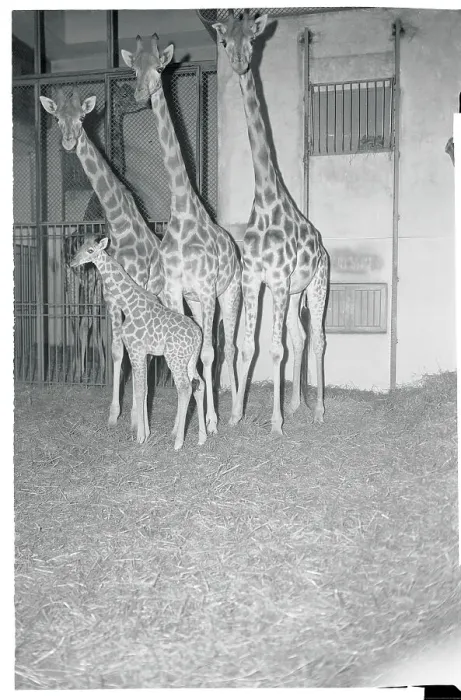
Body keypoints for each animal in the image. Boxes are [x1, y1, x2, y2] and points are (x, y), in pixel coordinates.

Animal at [40, 89, 163, 429]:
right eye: (57, 118)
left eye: (83, 117)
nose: (69, 141)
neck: (120, 223)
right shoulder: (110, 296)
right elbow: (118, 349)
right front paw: (116, 413)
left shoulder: (135, 290)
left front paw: (136, 415)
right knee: (80, 323)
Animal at [70, 236, 207, 450]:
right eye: (79, 247)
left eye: (90, 250)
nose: (72, 262)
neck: (128, 304)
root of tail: (198, 335)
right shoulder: (145, 353)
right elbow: (145, 389)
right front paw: (146, 432)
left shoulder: (135, 350)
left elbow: (140, 390)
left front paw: (140, 436)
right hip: (191, 360)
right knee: (199, 385)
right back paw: (202, 438)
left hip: (175, 359)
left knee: (185, 388)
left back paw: (178, 442)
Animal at [121, 35, 242, 434]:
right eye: (134, 67)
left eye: (160, 66)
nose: (141, 93)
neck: (185, 213)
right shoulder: (176, 290)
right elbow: (190, 351)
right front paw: (183, 429)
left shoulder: (206, 288)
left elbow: (208, 352)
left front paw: (211, 423)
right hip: (200, 302)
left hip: (229, 293)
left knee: (230, 347)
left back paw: (235, 412)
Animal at [213, 11, 329, 433]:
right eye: (225, 41)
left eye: (252, 38)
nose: (239, 62)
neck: (265, 201)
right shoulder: (254, 279)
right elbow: (251, 345)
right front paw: (236, 414)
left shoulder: (276, 280)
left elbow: (274, 349)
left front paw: (276, 422)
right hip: (296, 294)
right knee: (299, 335)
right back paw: (298, 404)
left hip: (316, 285)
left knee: (318, 338)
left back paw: (318, 410)